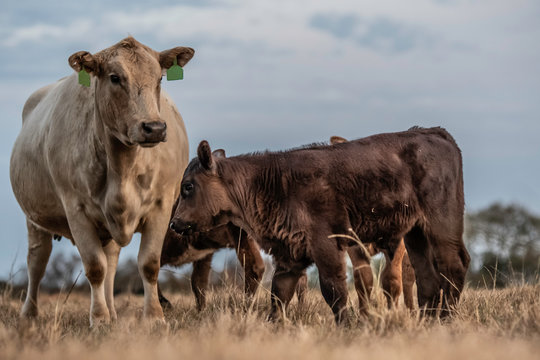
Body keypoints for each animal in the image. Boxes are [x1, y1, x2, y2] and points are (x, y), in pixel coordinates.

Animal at [10, 37, 194, 326]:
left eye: (159, 79)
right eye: (115, 78)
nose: (154, 127)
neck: (122, 169)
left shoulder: (162, 206)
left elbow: (149, 264)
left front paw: (154, 316)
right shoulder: (76, 209)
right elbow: (95, 267)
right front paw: (98, 318)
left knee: (111, 262)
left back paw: (113, 311)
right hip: (35, 220)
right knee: (37, 263)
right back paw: (30, 314)